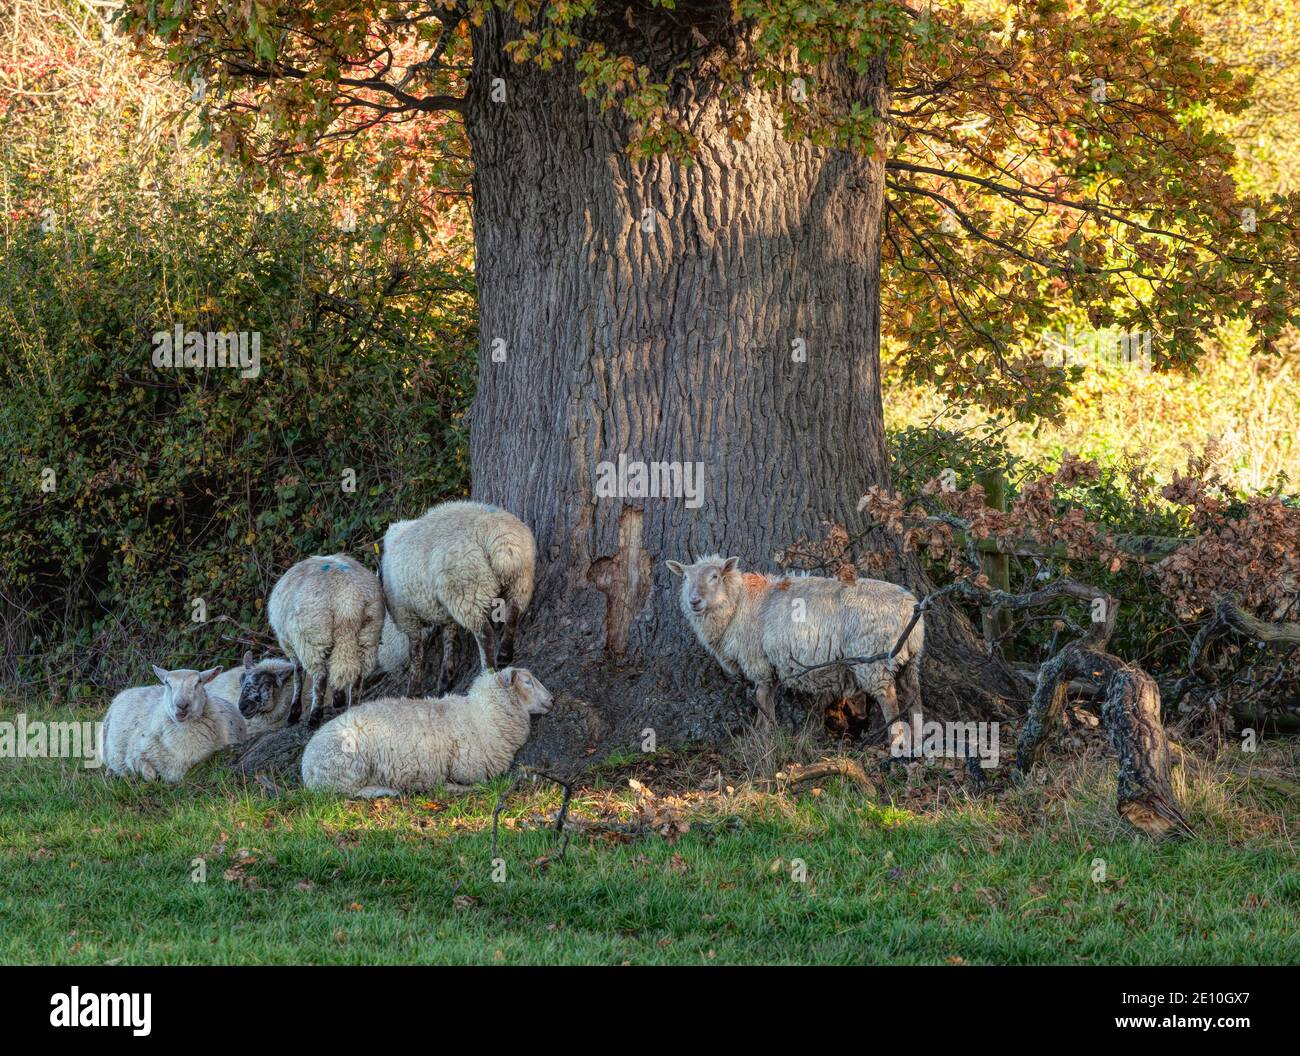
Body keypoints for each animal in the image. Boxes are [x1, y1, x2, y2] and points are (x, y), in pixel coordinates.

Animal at [266, 554, 382, 728]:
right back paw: (352, 707)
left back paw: (314, 717)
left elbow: (297, 675)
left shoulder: (289, 644)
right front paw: (338, 698)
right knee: (356, 676)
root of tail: (348, 600)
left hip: (314, 636)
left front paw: (294, 712)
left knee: (320, 678)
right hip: (368, 633)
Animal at [301, 663, 551, 795]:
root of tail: (307, 767)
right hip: (350, 766)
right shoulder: (467, 768)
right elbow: (475, 782)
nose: (553, 700)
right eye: (527, 682)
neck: (484, 715)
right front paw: (452, 787)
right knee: (348, 792)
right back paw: (386, 790)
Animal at [379, 501, 533, 697]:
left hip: (466, 591)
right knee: (513, 613)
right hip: (520, 578)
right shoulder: (444, 611)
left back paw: (488, 669)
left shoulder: (407, 616)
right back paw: (505, 654)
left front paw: (414, 689)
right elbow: (449, 640)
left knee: (485, 634)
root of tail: (498, 537)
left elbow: (416, 652)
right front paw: (445, 678)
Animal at [670, 556, 925, 728]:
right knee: (914, 695)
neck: (739, 601)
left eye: (714, 577)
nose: (694, 601)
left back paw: (897, 747)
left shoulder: (758, 662)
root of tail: (909, 608)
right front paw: (769, 733)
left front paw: (762, 735)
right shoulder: (771, 664)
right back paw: (918, 743)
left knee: (889, 701)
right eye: (685, 578)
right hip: (911, 659)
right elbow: (768, 701)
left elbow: (762, 700)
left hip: (874, 659)